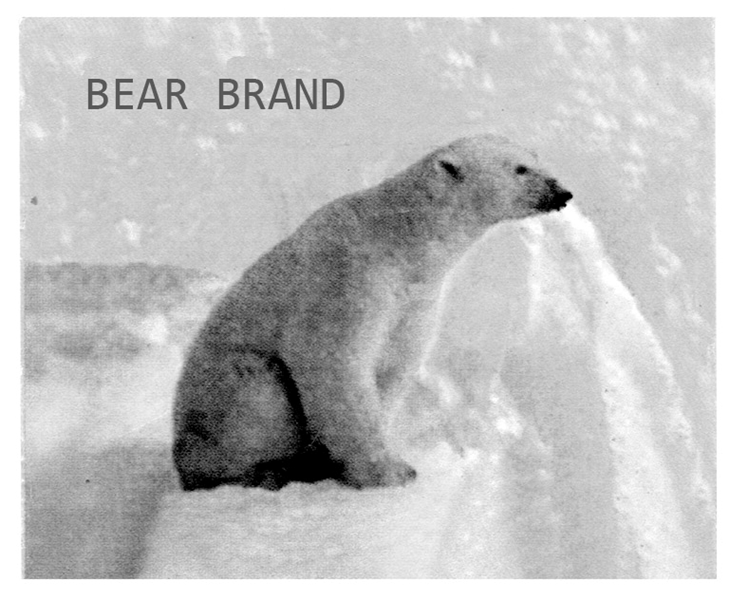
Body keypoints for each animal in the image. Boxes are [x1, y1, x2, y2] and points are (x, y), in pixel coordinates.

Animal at [172, 134, 572, 491]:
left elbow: (394, 365)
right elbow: (335, 365)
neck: (401, 239)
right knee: (258, 387)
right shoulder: (348, 281)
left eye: (535, 157)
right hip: (217, 396)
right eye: (520, 168)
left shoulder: (416, 301)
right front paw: (388, 472)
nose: (562, 193)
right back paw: (263, 471)